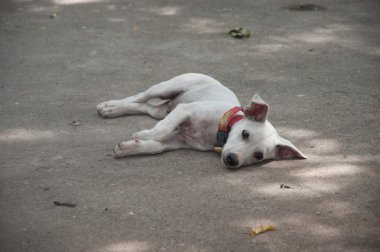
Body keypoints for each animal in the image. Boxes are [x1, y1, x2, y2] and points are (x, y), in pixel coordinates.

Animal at [97, 72, 306, 167]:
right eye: (245, 134)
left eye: (259, 156)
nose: (232, 160)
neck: (217, 131)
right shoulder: (185, 110)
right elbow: (160, 131)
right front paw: (143, 134)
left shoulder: (179, 140)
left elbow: (155, 147)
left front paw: (129, 148)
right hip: (166, 88)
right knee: (139, 96)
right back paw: (110, 107)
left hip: (163, 111)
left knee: (146, 107)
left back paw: (113, 110)